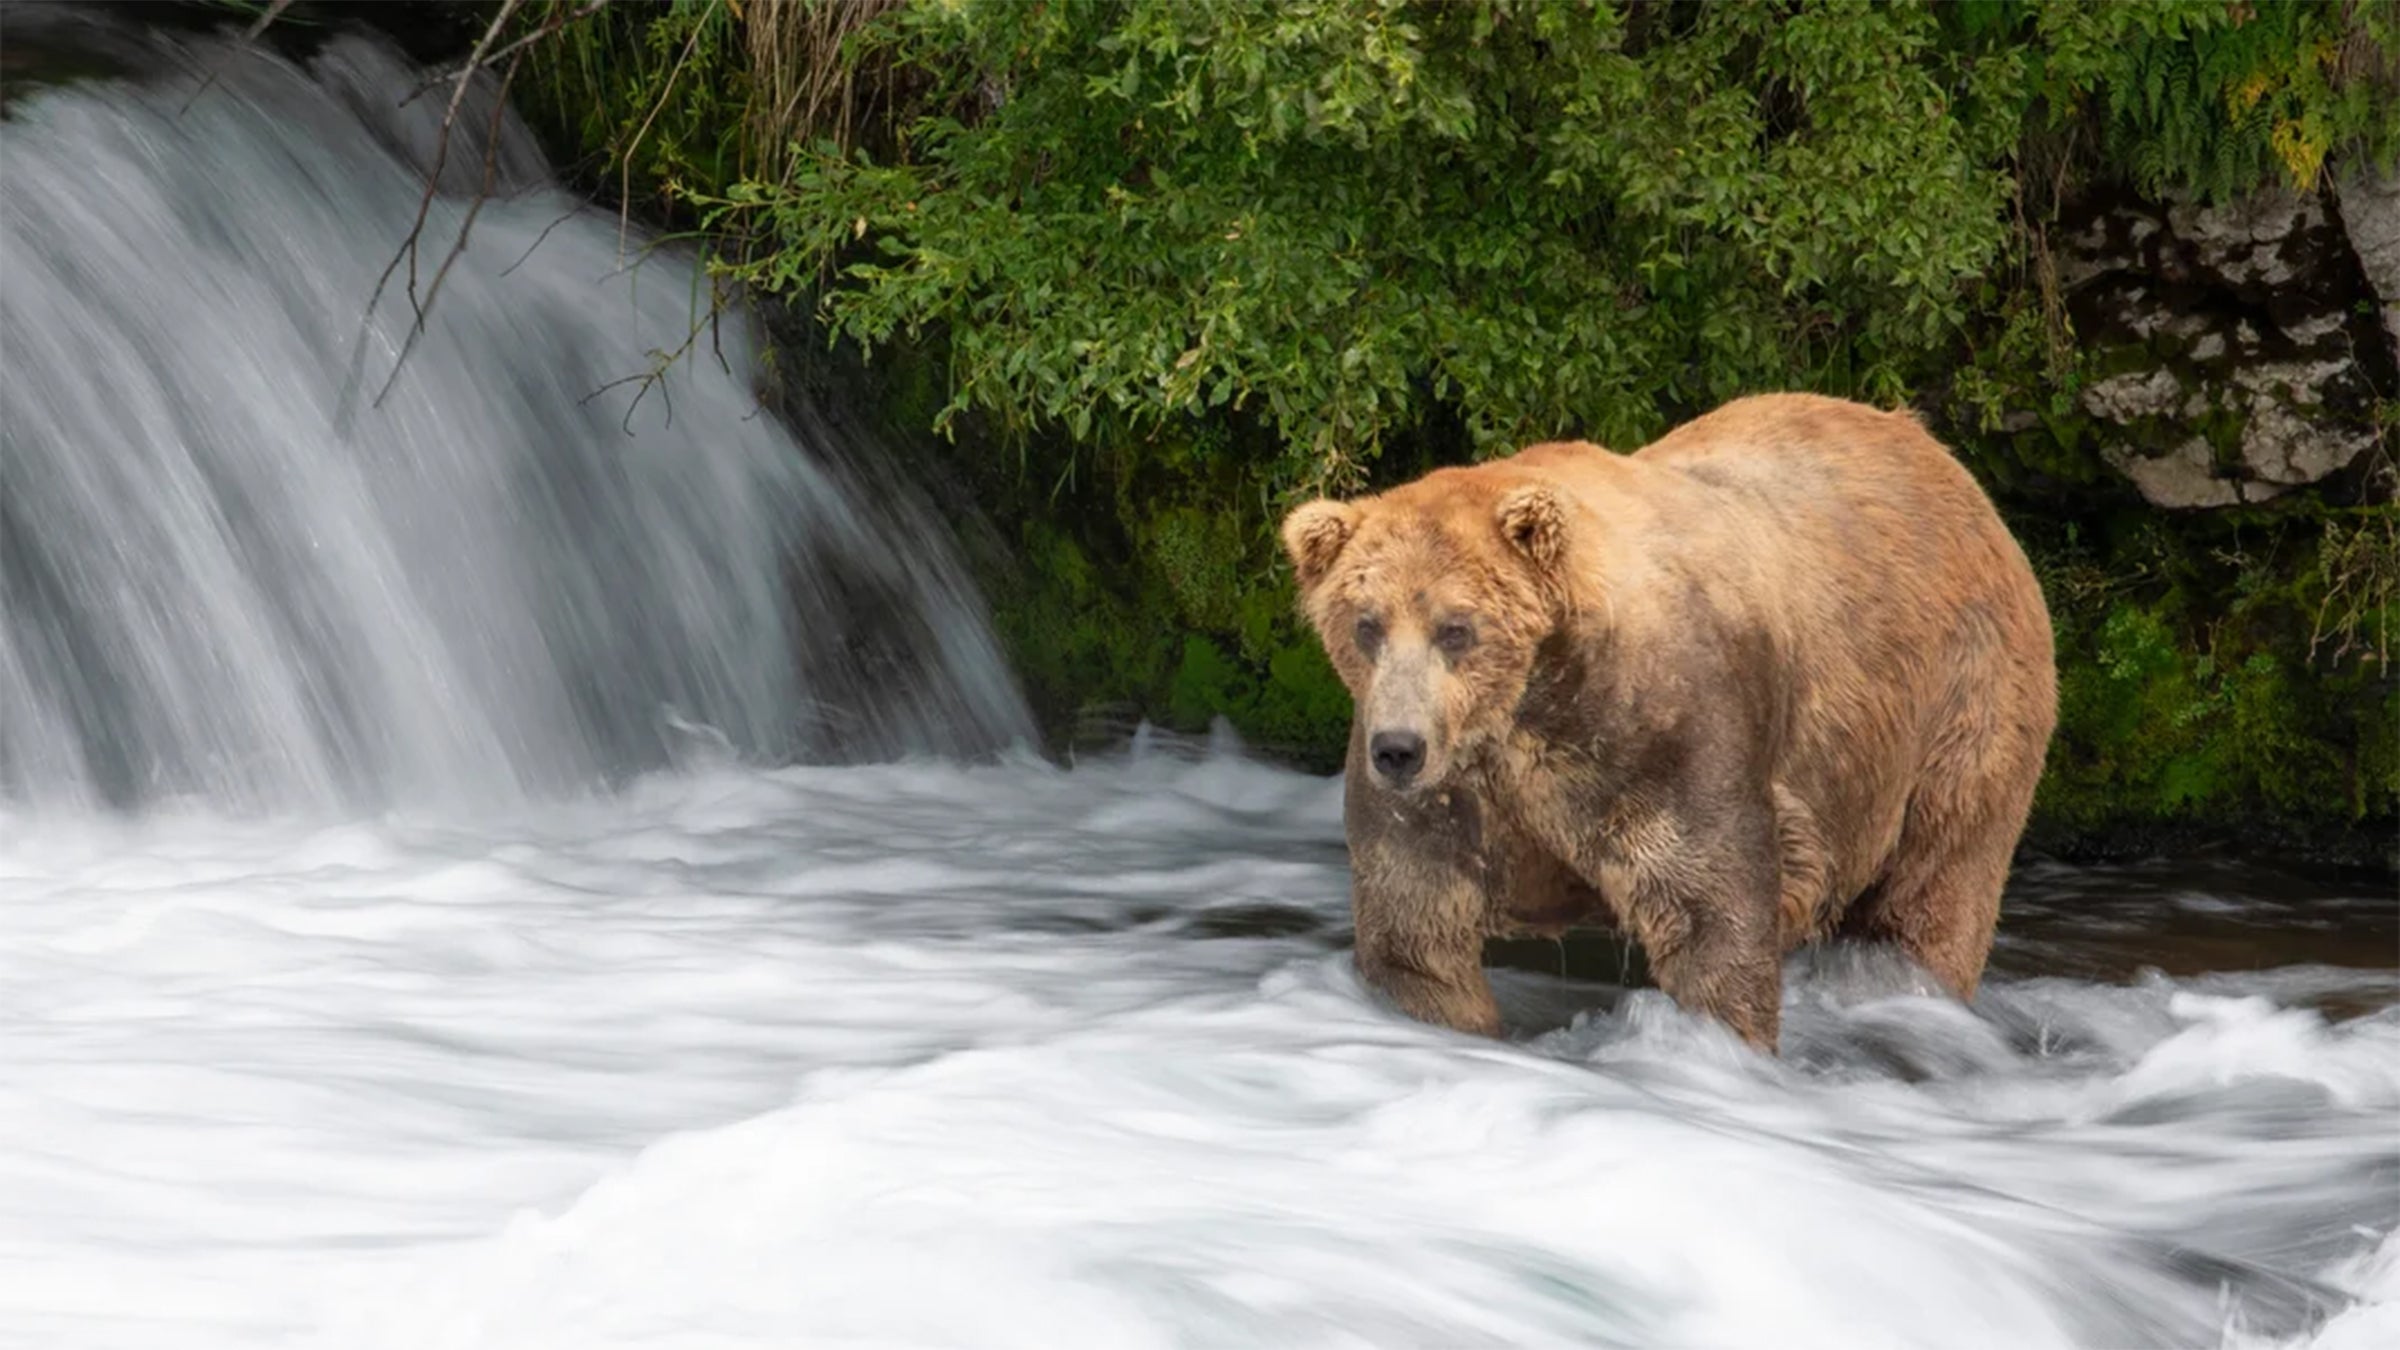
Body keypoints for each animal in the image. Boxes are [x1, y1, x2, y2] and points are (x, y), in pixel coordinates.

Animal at [1286, 391, 2054, 1052]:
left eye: (1456, 628)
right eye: (1365, 624)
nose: (1399, 748)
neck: (1534, 708)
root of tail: (1945, 462)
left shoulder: (1671, 735)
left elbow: (1713, 913)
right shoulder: (1455, 789)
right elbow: (1415, 932)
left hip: (1958, 702)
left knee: (1936, 886)